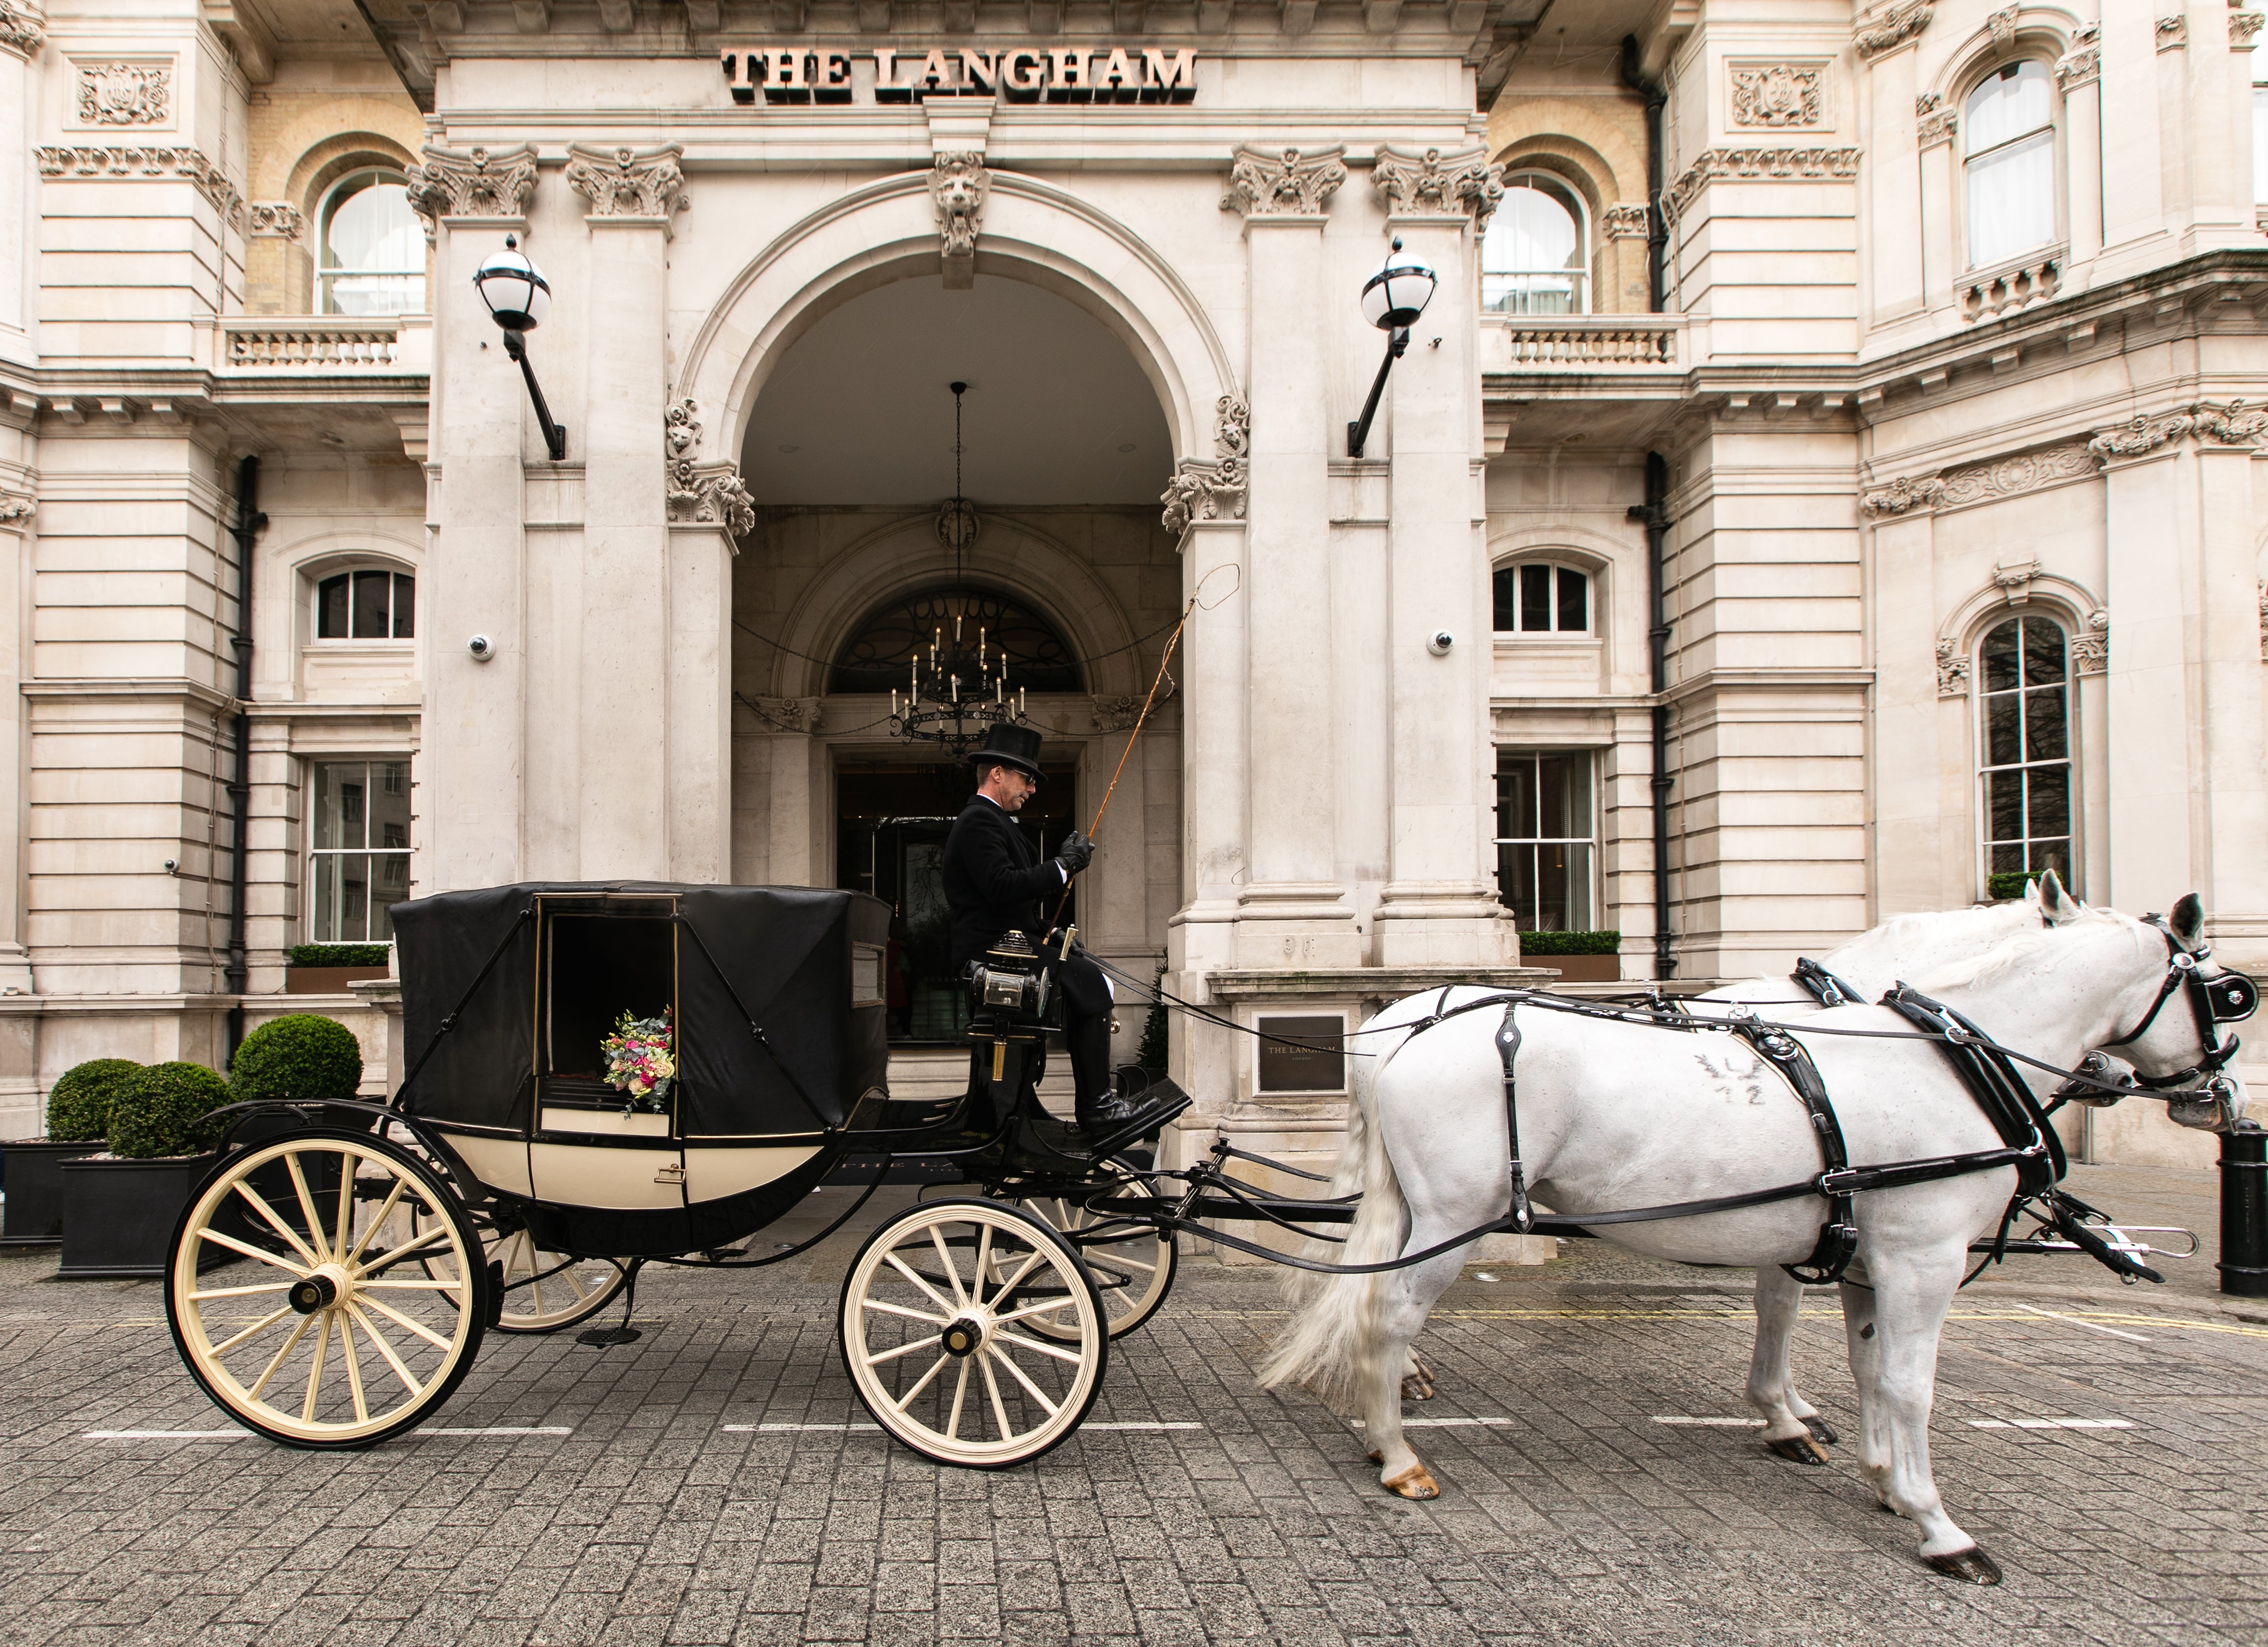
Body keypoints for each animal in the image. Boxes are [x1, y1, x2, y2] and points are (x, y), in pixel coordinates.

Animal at [1270, 902, 2241, 1588]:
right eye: (2227, 992)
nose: (2219, 1100)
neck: (1936, 1059)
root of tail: (1404, 1037)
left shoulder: (1859, 1249)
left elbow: (1864, 1366)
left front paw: (1871, 1469)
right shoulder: (1918, 1254)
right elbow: (1899, 1381)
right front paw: (1932, 1521)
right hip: (1454, 1213)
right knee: (1388, 1312)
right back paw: (1398, 1454)